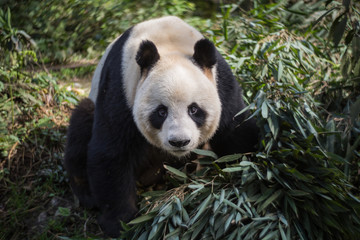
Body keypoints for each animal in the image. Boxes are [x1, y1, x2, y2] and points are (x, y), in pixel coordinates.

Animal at [63, 15, 258, 237]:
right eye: (161, 112)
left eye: (194, 109)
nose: (179, 142)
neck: (169, 45)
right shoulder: (120, 88)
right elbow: (112, 152)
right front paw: (120, 222)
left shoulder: (221, 84)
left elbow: (236, 133)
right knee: (82, 124)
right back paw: (87, 194)